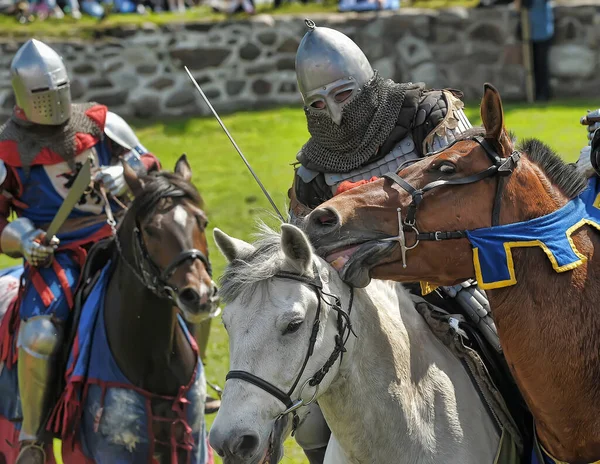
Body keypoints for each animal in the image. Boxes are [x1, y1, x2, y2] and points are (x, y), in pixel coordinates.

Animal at [0, 156, 216, 464]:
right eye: (150, 230)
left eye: (202, 221)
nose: (199, 296)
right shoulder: (103, 450)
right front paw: (33, 244)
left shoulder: (191, 445)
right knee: (40, 336)